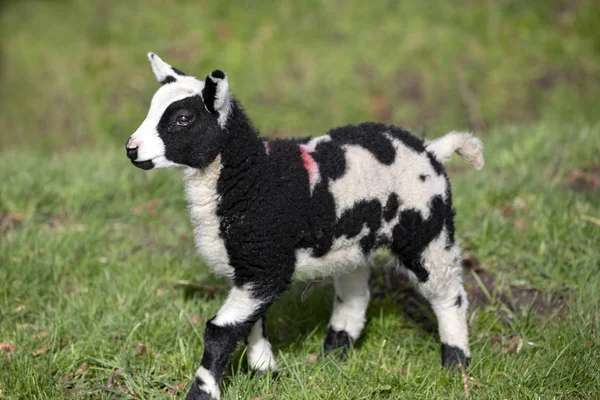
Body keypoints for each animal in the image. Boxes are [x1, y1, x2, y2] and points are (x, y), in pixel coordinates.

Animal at [125, 53, 482, 400]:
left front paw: (203, 392)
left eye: (183, 119)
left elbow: (221, 330)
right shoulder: (251, 267)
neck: (254, 177)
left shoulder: (267, 262)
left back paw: (455, 364)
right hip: (352, 240)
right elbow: (251, 323)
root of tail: (430, 149)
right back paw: (334, 353)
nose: (131, 149)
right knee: (354, 295)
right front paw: (265, 371)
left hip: (426, 229)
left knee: (448, 294)